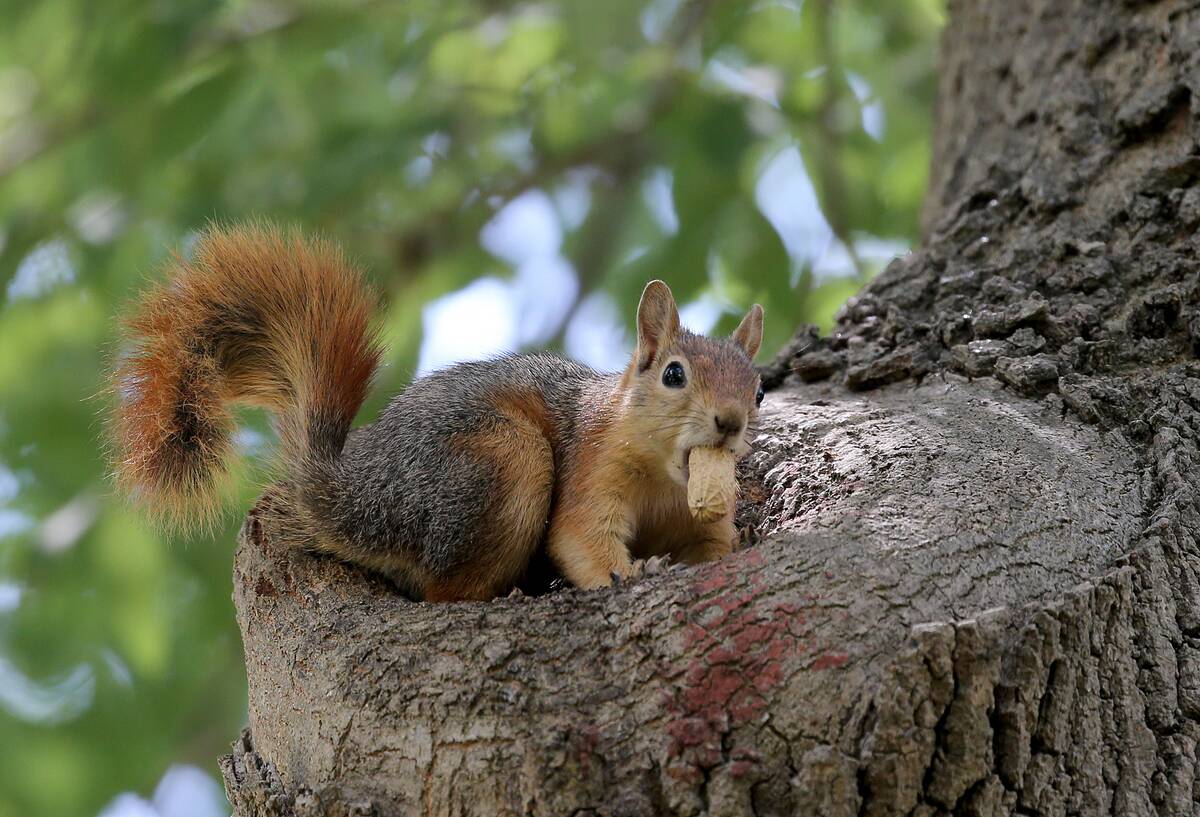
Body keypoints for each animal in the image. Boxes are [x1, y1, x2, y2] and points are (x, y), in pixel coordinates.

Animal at [111, 224, 765, 602]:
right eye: (673, 374)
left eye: (758, 391)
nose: (729, 422)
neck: (663, 479)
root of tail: (347, 497)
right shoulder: (591, 470)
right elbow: (581, 537)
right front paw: (628, 574)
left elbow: (715, 546)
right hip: (501, 461)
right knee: (443, 592)